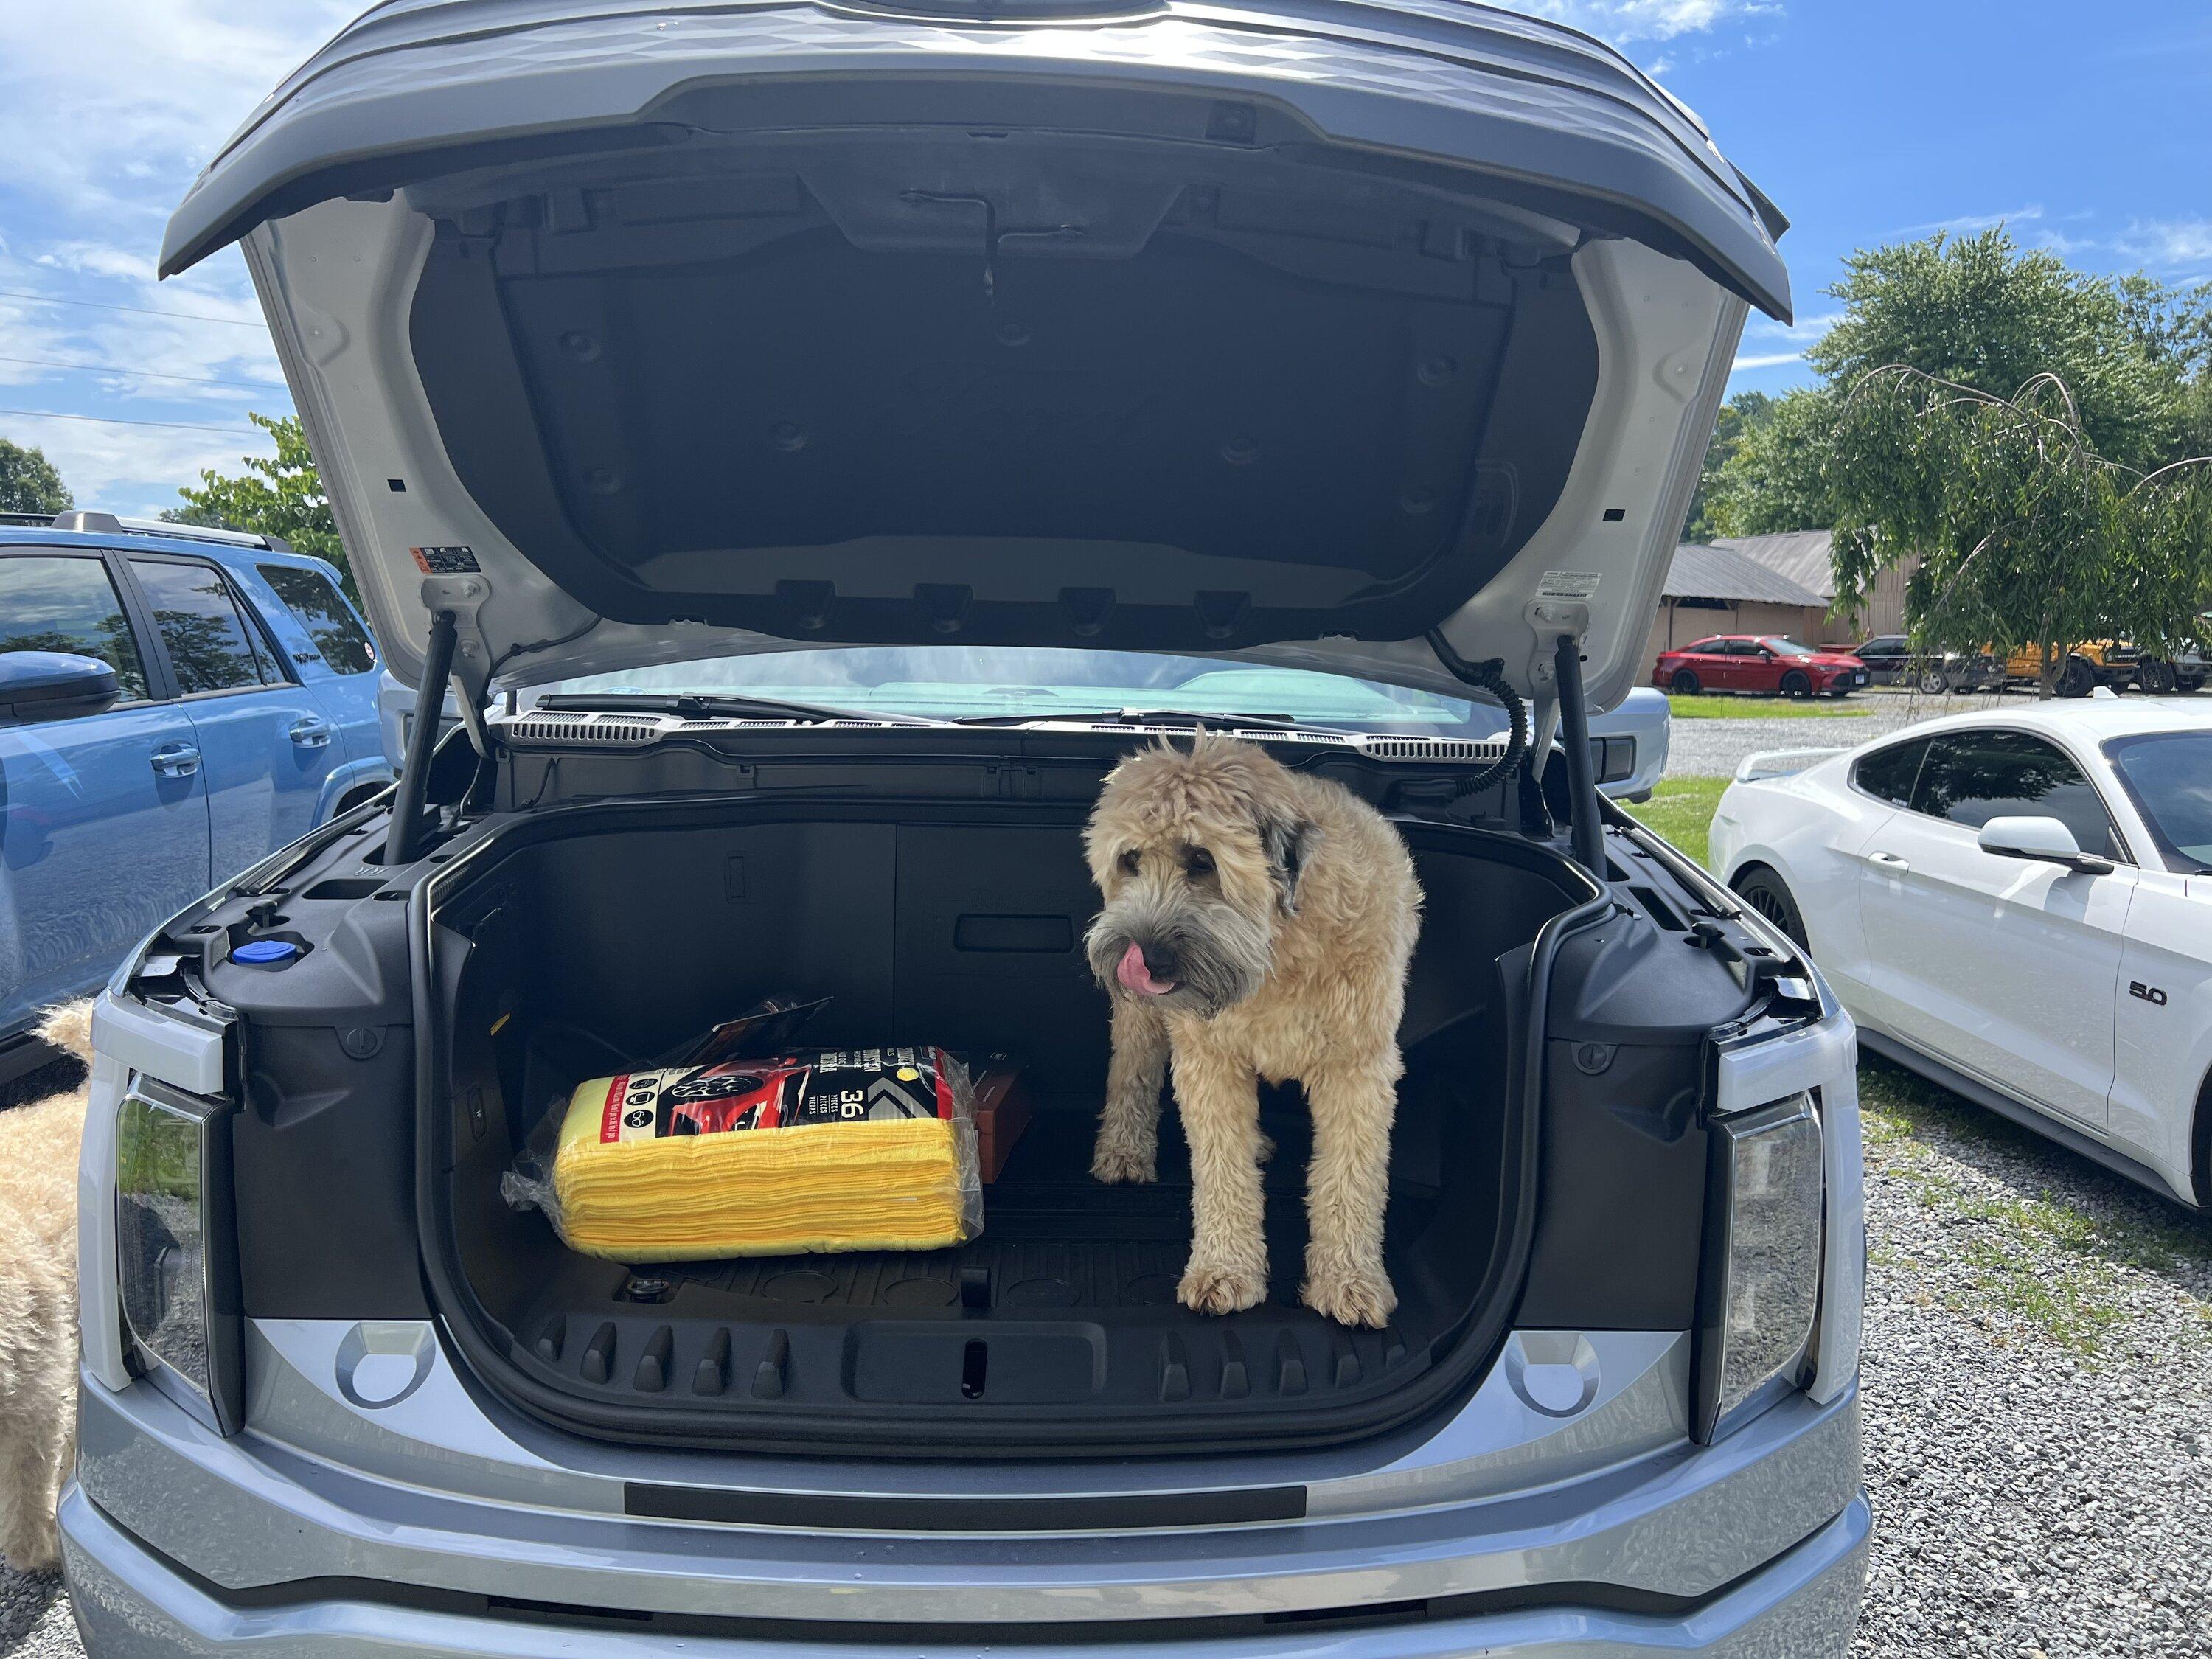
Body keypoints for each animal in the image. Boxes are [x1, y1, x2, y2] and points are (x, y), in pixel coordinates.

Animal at [1084, 734, 1425, 1336]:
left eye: (1202, 861)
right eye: (1131, 861)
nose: (1140, 956)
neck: (1277, 949)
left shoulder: (1358, 1067)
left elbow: (1351, 1177)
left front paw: (1348, 1279)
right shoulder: (1208, 1059)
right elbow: (1221, 1169)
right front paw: (1225, 1269)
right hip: (1140, 1020)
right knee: (1132, 1071)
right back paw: (1123, 1149)